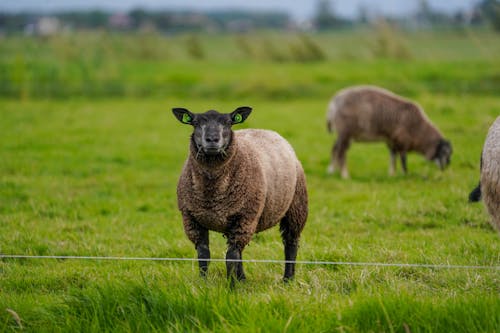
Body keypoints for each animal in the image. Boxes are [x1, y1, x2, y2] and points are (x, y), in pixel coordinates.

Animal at [173, 106, 308, 282]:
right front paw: (203, 283)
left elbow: (230, 257)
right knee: (239, 251)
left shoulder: (246, 216)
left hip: (295, 207)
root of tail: (267, 131)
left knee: (291, 243)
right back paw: (242, 278)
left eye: (228, 123)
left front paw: (231, 286)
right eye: (195, 123)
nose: (212, 139)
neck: (212, 191)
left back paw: (288, 279)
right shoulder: (192, 219)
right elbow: (204, 256)